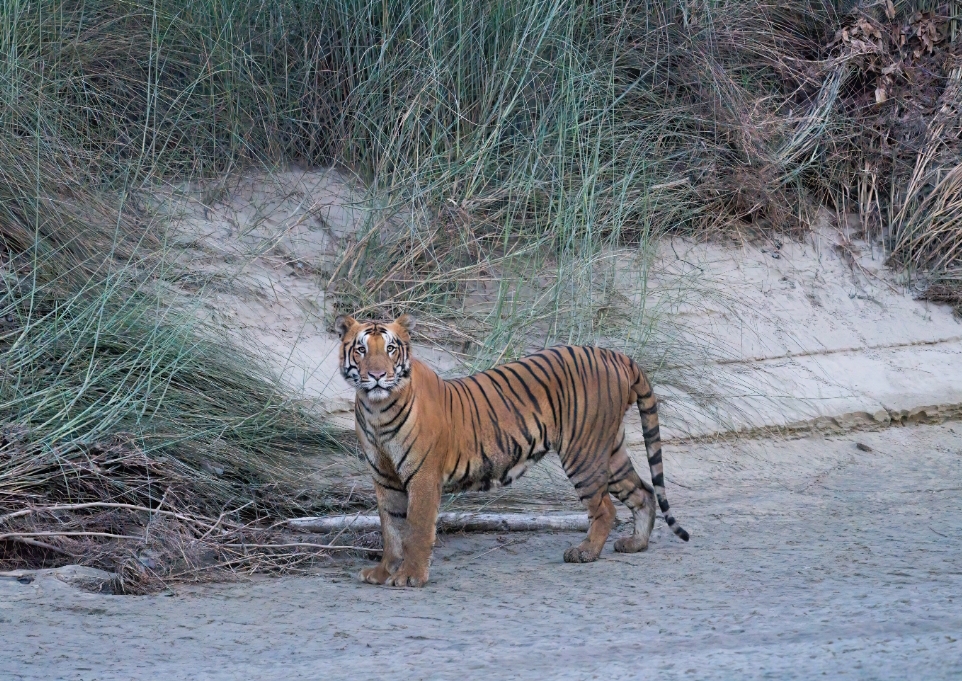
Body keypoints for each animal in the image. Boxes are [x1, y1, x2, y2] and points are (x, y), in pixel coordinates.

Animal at [334, 314, 688, 584]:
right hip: (609, 450)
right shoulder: (384, 477)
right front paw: (384, 572)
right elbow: (391, 529)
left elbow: (417, 528)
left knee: (605, 508)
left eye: (391, 349)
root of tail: (615, 354)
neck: (376, 409)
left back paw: (585, 552)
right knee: (643, 492)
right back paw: (635, 543)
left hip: (583, 454)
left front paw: (410, 577)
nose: (377, 375)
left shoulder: (422, 477)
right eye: (361, 350)